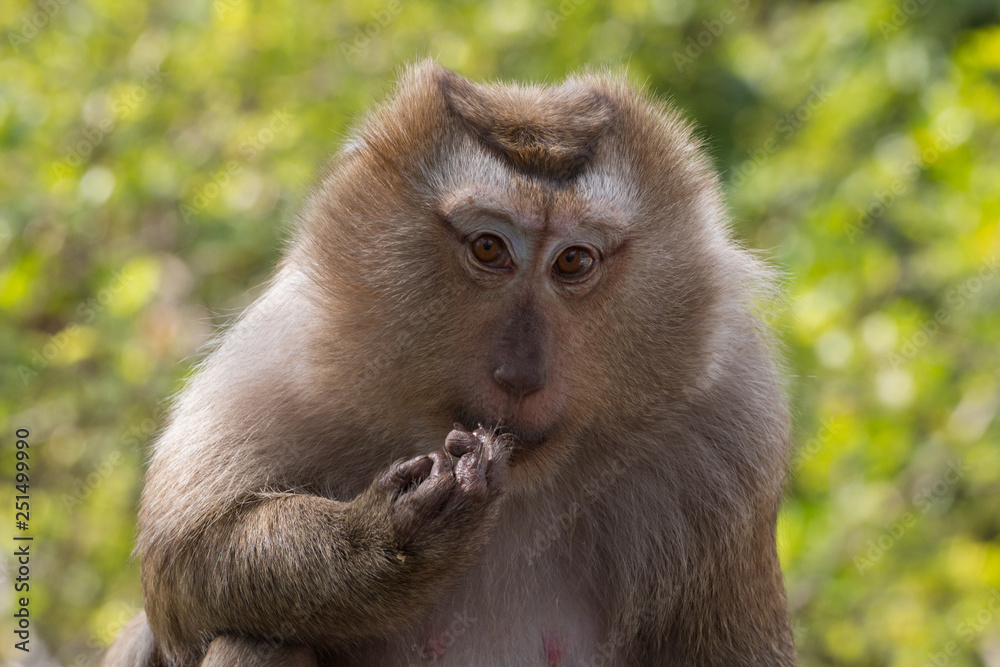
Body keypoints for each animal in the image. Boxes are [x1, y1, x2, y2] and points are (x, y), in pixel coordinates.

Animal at [103, 60, 796, 664]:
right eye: (489, 248)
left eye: (573, 261)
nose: (520, 376)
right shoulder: (286, 356)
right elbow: (183, 568)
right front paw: (386, 536)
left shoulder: (728, 418)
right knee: (257, 637)